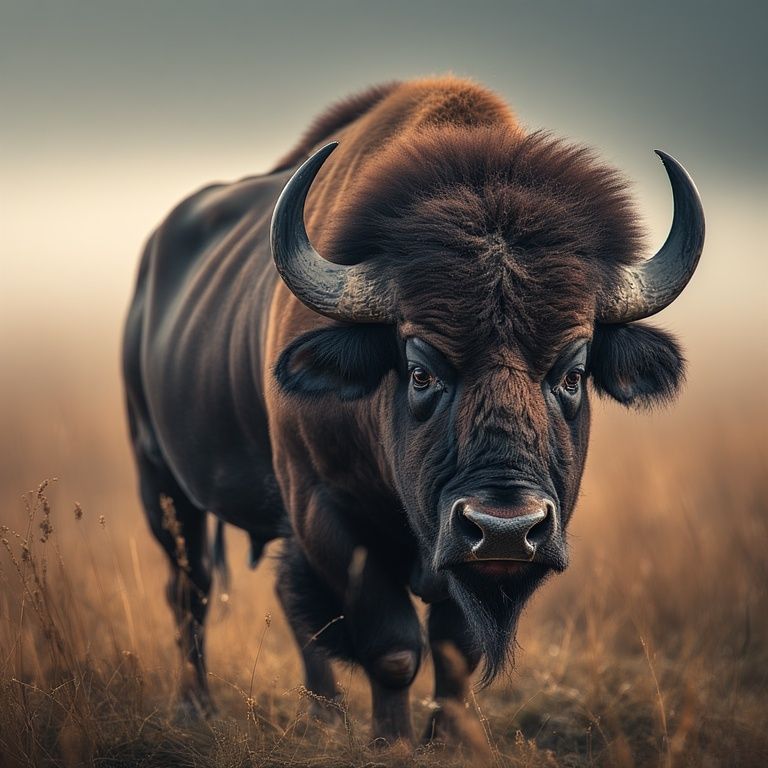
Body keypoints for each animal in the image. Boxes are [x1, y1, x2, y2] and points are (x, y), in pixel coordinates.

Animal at [122, 77, 704, 750]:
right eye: (420, 370)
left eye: (573, 373)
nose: (505, 529)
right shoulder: (325, 512)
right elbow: (393, 645)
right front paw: (391, 739)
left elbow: (455, 648)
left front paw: (450, 739)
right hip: (161, 482)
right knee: (188, 590)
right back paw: (197, 707)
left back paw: (324, 715)